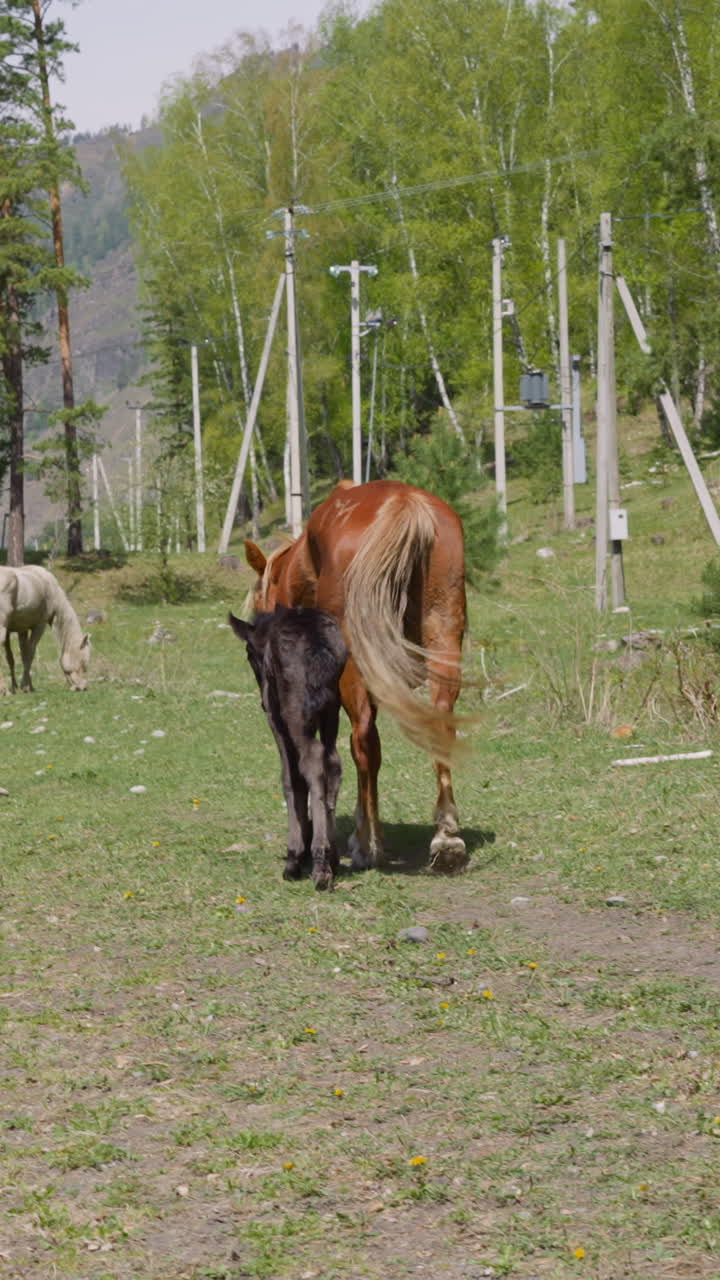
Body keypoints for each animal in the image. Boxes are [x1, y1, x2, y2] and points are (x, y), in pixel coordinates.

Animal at [229, 604, 347, 890]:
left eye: (249, 653)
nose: (260, 701)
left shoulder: (276, 718)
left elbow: (289, 777)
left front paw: (296, 856)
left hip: (294, 710)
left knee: (312, 761)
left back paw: (319, 864)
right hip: (331, 708)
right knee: (333, 762)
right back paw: (331, 857)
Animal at [244, 479, 468, 874]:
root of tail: (403, 502)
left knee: (363, 741)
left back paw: (367, 844)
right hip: (443, 634)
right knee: (440, 725)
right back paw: (446, 838)